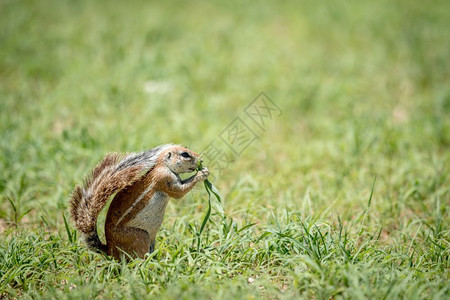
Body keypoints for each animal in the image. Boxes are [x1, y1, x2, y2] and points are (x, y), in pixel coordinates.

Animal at [69, 144, 210, 258]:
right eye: (185, 154)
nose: (201, 159)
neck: (163, 165)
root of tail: (110, 250)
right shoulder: (165, 179)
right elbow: (178, 192)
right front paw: (202, 174)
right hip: (140, 237)